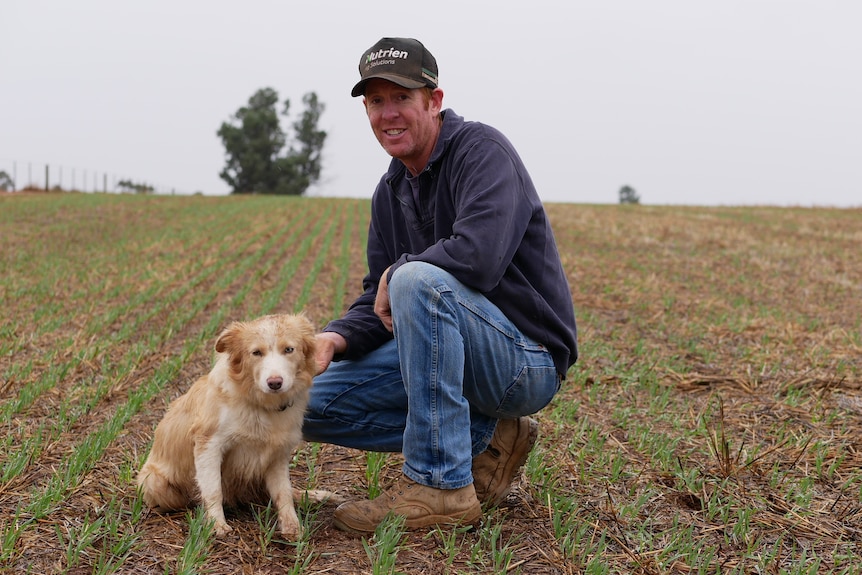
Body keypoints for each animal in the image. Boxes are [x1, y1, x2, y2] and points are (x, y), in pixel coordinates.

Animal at [140, 312, 332, 536]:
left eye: (289, 349)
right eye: (256, 352)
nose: (275, 383)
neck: (260, 405)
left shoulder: (277, 453)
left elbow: (283, 492)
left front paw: (292, 527)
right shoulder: (209, 444)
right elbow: (213, 489)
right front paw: (216, 525)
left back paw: (313, 496)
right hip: (153, 482)